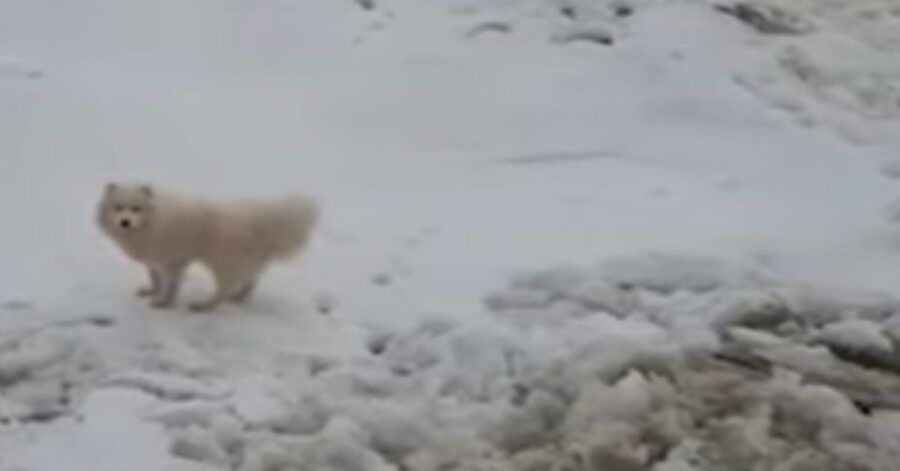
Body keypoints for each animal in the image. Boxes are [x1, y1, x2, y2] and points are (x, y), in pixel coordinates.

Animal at [95, 183, 318, 312]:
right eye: (118, 207)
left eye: (136, 209)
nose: (125, 222)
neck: (156, 221)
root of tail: (259, 223)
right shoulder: (155, 260)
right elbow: (155, 278)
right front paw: (151, 291)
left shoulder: (173, 261)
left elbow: (171, 285)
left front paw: (164, 302)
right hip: (245, 263)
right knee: (249, 282)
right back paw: (239, 297)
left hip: (222, 263)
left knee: (223, 290)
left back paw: (204, 305)